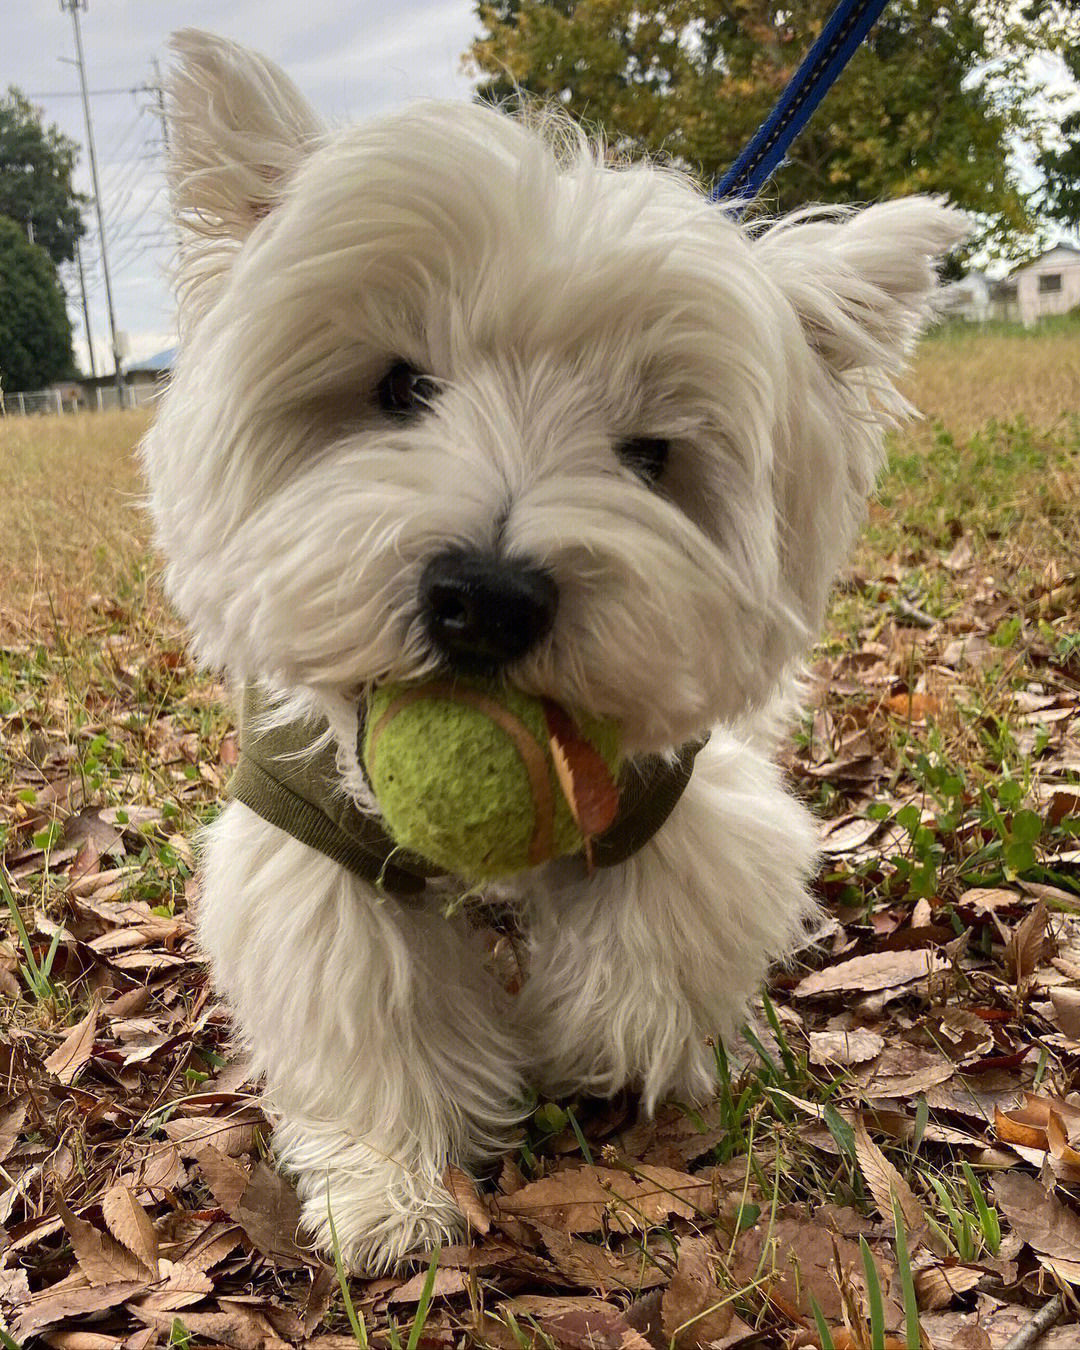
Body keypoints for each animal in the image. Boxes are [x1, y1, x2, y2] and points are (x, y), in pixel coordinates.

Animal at [141, 31, 961, 1274]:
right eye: (399, 388)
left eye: (648, 454)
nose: (485, 599)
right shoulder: (310, 837)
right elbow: (368, 1011)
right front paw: (388, 1185)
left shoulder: (676, 806)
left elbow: (644, 963)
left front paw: (604, 1054)